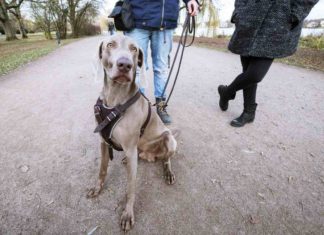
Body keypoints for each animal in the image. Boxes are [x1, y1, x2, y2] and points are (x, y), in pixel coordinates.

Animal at [87, 34, 178, 231]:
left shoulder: (129, 148)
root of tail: (152, 156)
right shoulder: (103, 143)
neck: (115, 100)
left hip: (169, 139)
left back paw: (168, 172)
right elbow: (102, 170)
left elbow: (130, 187)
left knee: (166, 159)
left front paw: (128, 214)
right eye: (110, 44)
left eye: (134, 49)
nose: (125, 64)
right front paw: (97, 188)